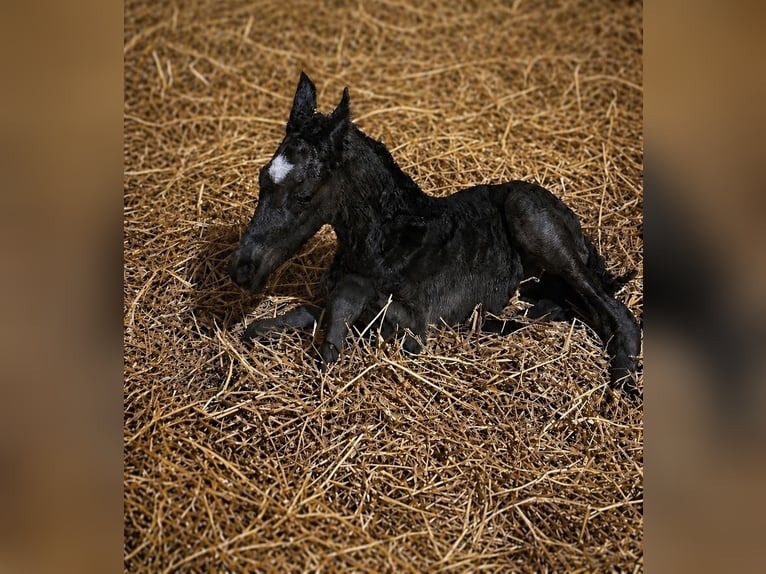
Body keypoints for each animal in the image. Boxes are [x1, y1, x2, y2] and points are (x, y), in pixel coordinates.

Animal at [229, 72, 641, 395]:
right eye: (262, 179)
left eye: (303, 194)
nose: (242, 268)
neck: (386, 241)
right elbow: (299, 314)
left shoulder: (416, 323)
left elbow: (346, 301)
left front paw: (329, 350)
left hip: (533, 220)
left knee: (616, 313)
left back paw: (622, 383)